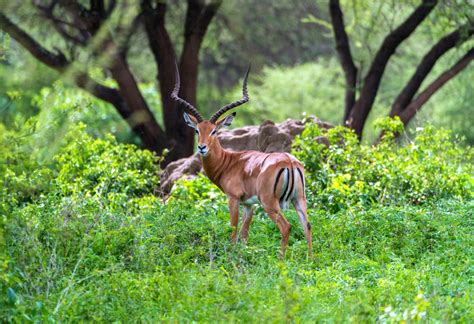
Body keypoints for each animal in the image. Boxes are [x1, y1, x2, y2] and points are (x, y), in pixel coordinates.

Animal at [172, 63, 312, 256]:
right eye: (197, 130)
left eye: (214, 131)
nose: (202, 147)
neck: (229, 162)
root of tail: (288, 162)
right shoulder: (249, 204)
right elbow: (244, 234)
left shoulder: (233, 198)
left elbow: (233, 230)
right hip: (299, 199)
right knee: (307, 226)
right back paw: (311, 259)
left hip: (270, 203)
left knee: (287, 227)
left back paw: (280, 259)